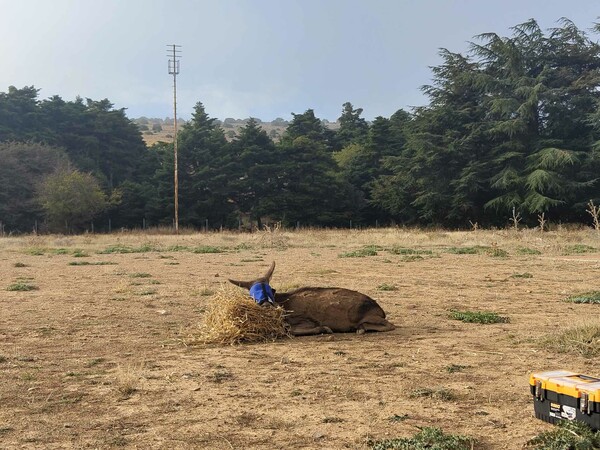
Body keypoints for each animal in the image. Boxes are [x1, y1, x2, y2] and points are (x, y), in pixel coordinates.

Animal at [227, 262, 396, 336]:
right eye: (252, 294)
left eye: (271, 289)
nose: (267, 306)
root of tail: (380, 309)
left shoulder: (303, 320)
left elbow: (292, 330)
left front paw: (325, 328)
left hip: (364, 316)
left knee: (390, 325)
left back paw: (361, 329)